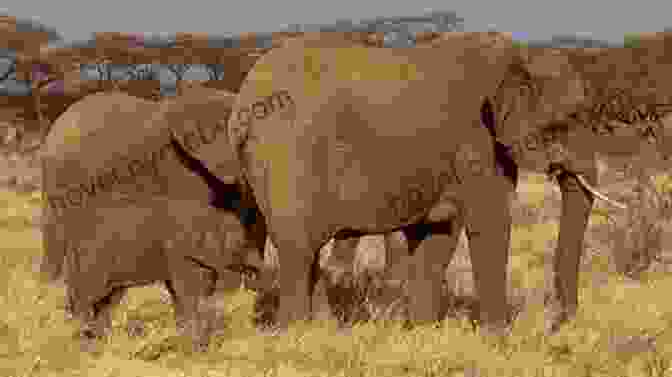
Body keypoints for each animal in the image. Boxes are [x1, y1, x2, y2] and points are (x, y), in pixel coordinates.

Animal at [62, 197, 262, 350]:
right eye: (238, 246)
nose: (256, 272)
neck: (211, 214)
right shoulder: (178, 251)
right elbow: (186, 290)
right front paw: (195, 344)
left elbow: (183, 291)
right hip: (94, 258)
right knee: (88, 295)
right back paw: (84, 338)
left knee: (108, 300)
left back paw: (100, 339)